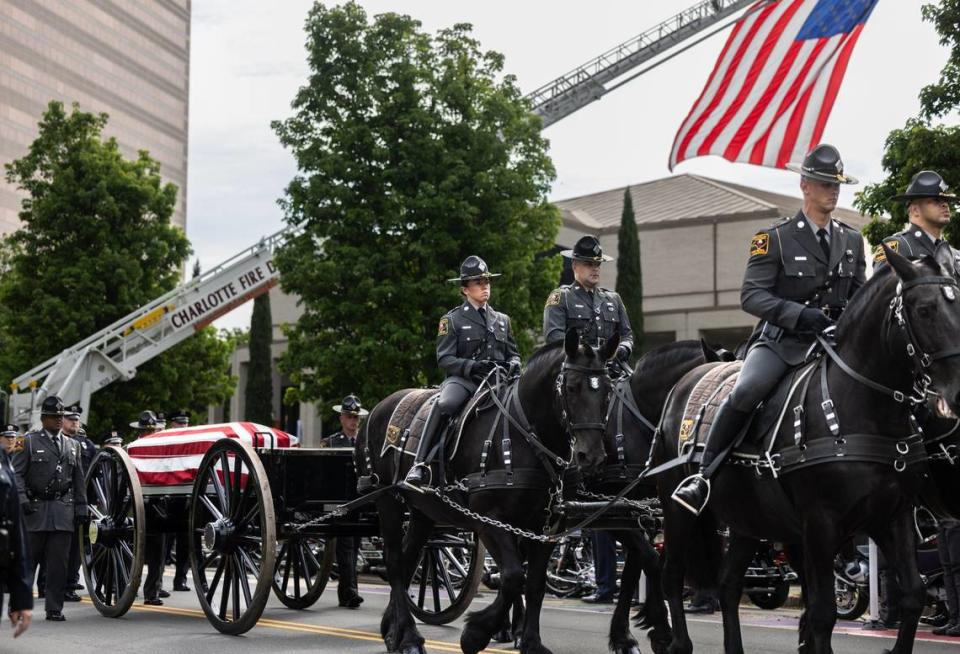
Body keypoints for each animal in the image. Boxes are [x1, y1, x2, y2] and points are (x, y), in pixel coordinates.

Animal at [364, 334, 620, 654]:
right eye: (571, 387)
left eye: (608, 390)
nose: (592, 456)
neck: (526, 437)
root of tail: (380, 407)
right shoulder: (489, 521)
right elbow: (511, 577)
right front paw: (477, 633)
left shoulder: (544, 528)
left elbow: (534, 584)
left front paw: (530, 641)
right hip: (388, 501)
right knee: (395, 562)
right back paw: (409, 637)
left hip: (424, 512)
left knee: (409, 560)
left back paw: (393, 630)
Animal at [576, 344, 736, 654]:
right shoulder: (607, 510)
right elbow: (649, 559)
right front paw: (660, 628)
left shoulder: (641, 510)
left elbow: (635, 566)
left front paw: (628, 633)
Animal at [656, 247, 960, 654]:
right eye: (925, 310)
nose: (957, 393)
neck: (863, 411)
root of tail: (684, 383)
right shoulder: (819, 524)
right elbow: (822, 613)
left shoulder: (891, 518)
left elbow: (912, 595)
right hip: (678, 511)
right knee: (672, 574)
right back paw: (679, 642)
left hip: (748, 519)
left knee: (728, 584)